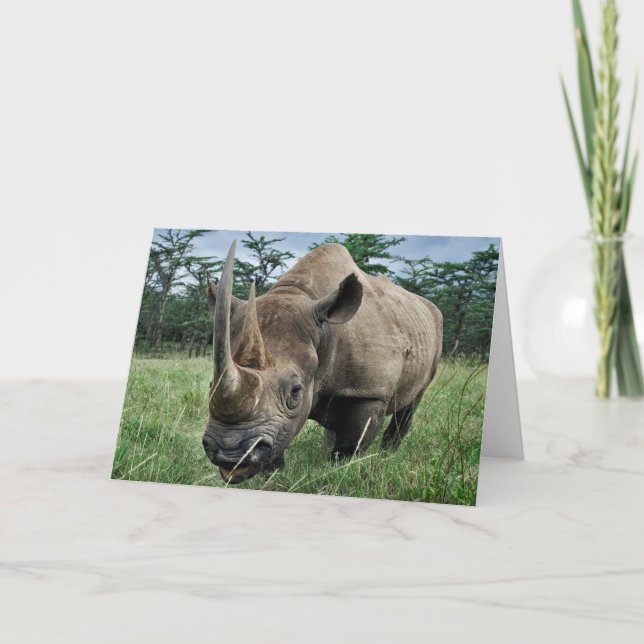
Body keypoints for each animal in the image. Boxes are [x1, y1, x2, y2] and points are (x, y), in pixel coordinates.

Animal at [202, 240, 443, 484]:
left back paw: (387, 457)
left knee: (411, 404)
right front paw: (272, 477)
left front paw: (339, 472)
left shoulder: (370, 392)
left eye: (295, 392)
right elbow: (281, 439)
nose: (229, 455)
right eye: (210, 385)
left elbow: (350, 446)